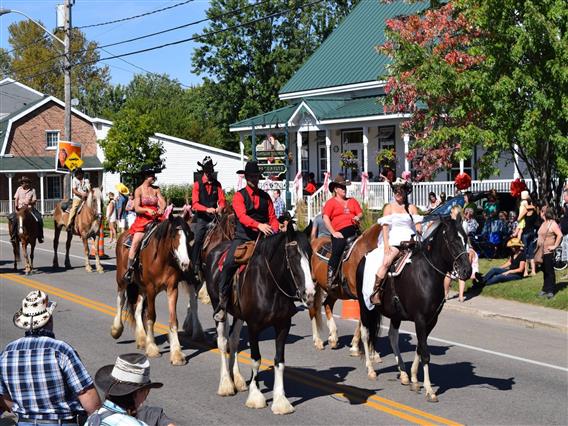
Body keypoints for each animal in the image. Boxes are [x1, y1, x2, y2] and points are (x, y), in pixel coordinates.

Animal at [111, 215, 204, 364]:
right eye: (173, 235)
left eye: (189, 235)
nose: (185, 263)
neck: (162, 259)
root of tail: (123, 234)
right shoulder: (151, 289)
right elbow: (151, 317)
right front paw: (152, 349)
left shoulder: (172, 289)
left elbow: (173, 320)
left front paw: (177, 354)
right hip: (122, 279)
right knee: (121, 299)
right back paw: (116, 330)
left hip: (141, 287)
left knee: (137, 310)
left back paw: (142, 339)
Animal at [204, 226, 312, 416]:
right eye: (293, 256)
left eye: (311, 254)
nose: (310, 292)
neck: (270, 285)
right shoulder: (254, 327)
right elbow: (256, 359)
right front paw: (256, 396)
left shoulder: (283, 326)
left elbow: (279, 361)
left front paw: (280, 401)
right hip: (218, 308)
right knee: (223, 342)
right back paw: (226, 384)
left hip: (239, 315)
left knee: (233, 340)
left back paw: (237, 379)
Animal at [308, 225, 384, 362]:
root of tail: (315, 241)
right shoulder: (361, 296)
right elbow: (364, 320)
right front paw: (356, 348)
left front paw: (369, 351)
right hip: (313, 285)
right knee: (313, 310)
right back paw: (318, 341)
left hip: (334, 291)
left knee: (327, 304)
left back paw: (333, 337)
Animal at [356, 218, 470, 402]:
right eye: (453, 241)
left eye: (465, 239)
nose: (467, 270)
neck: (428, 274)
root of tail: (363, 259)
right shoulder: (420, 319)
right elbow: (425, 352)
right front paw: (429, 390)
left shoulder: (431, 320)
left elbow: (420, 348)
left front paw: (415, 379)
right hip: (365, 306)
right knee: (365, 334)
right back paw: (371, 370)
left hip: (395, 314)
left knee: (392, 337)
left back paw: (403, 374)